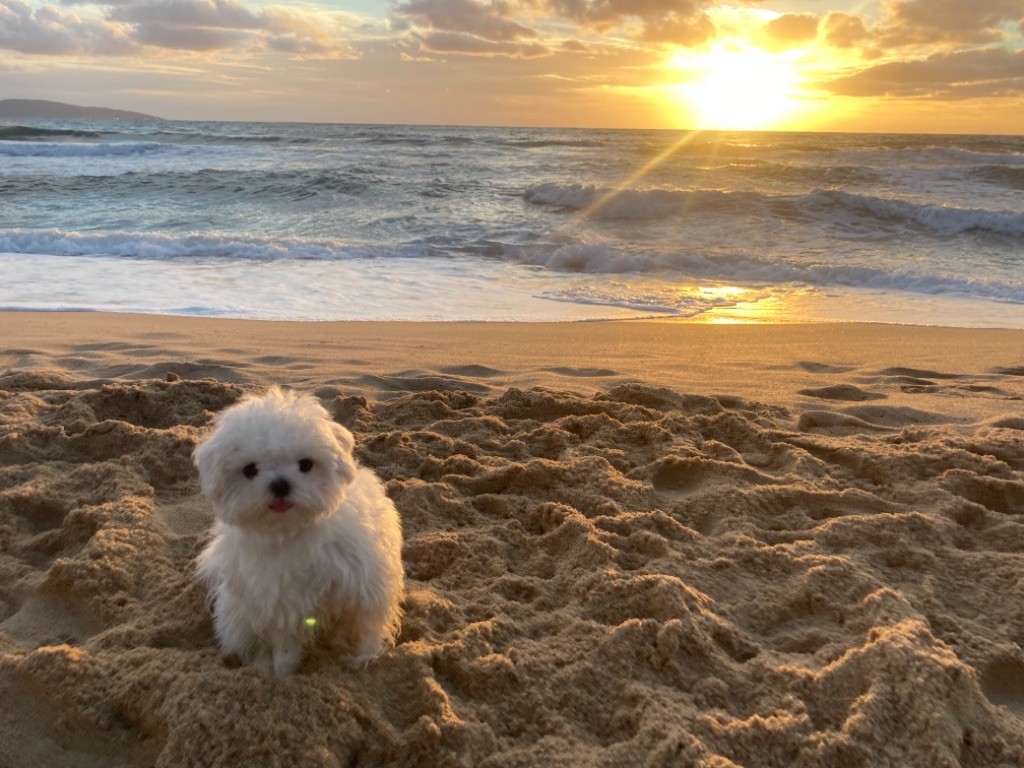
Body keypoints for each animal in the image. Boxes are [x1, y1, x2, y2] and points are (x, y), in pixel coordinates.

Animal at [193, 387, 401, 675]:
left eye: (306, 464)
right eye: (250, 470)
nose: (280, 484)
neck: (290, 531)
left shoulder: (366, 583)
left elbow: (367, 624)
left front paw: (361, 656)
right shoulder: (279, 601)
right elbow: (284, 645)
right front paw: (281, 673)